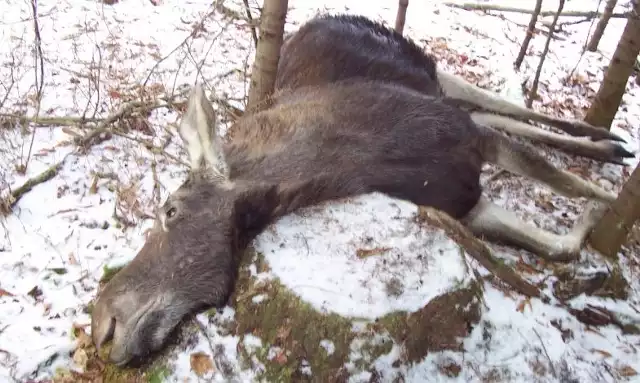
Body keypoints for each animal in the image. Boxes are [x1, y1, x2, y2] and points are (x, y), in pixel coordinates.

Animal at [94, 15, 624, 368]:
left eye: (170, 210)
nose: (103, 325)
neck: (347, 160)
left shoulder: (468, 137)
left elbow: (573, 185)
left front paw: (606, 207)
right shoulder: (463, 202)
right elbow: (558, 246)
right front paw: (589, 225)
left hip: (431, 70)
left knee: (507, 106)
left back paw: (609, 142)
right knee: (503, 112)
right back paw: (606, 143)